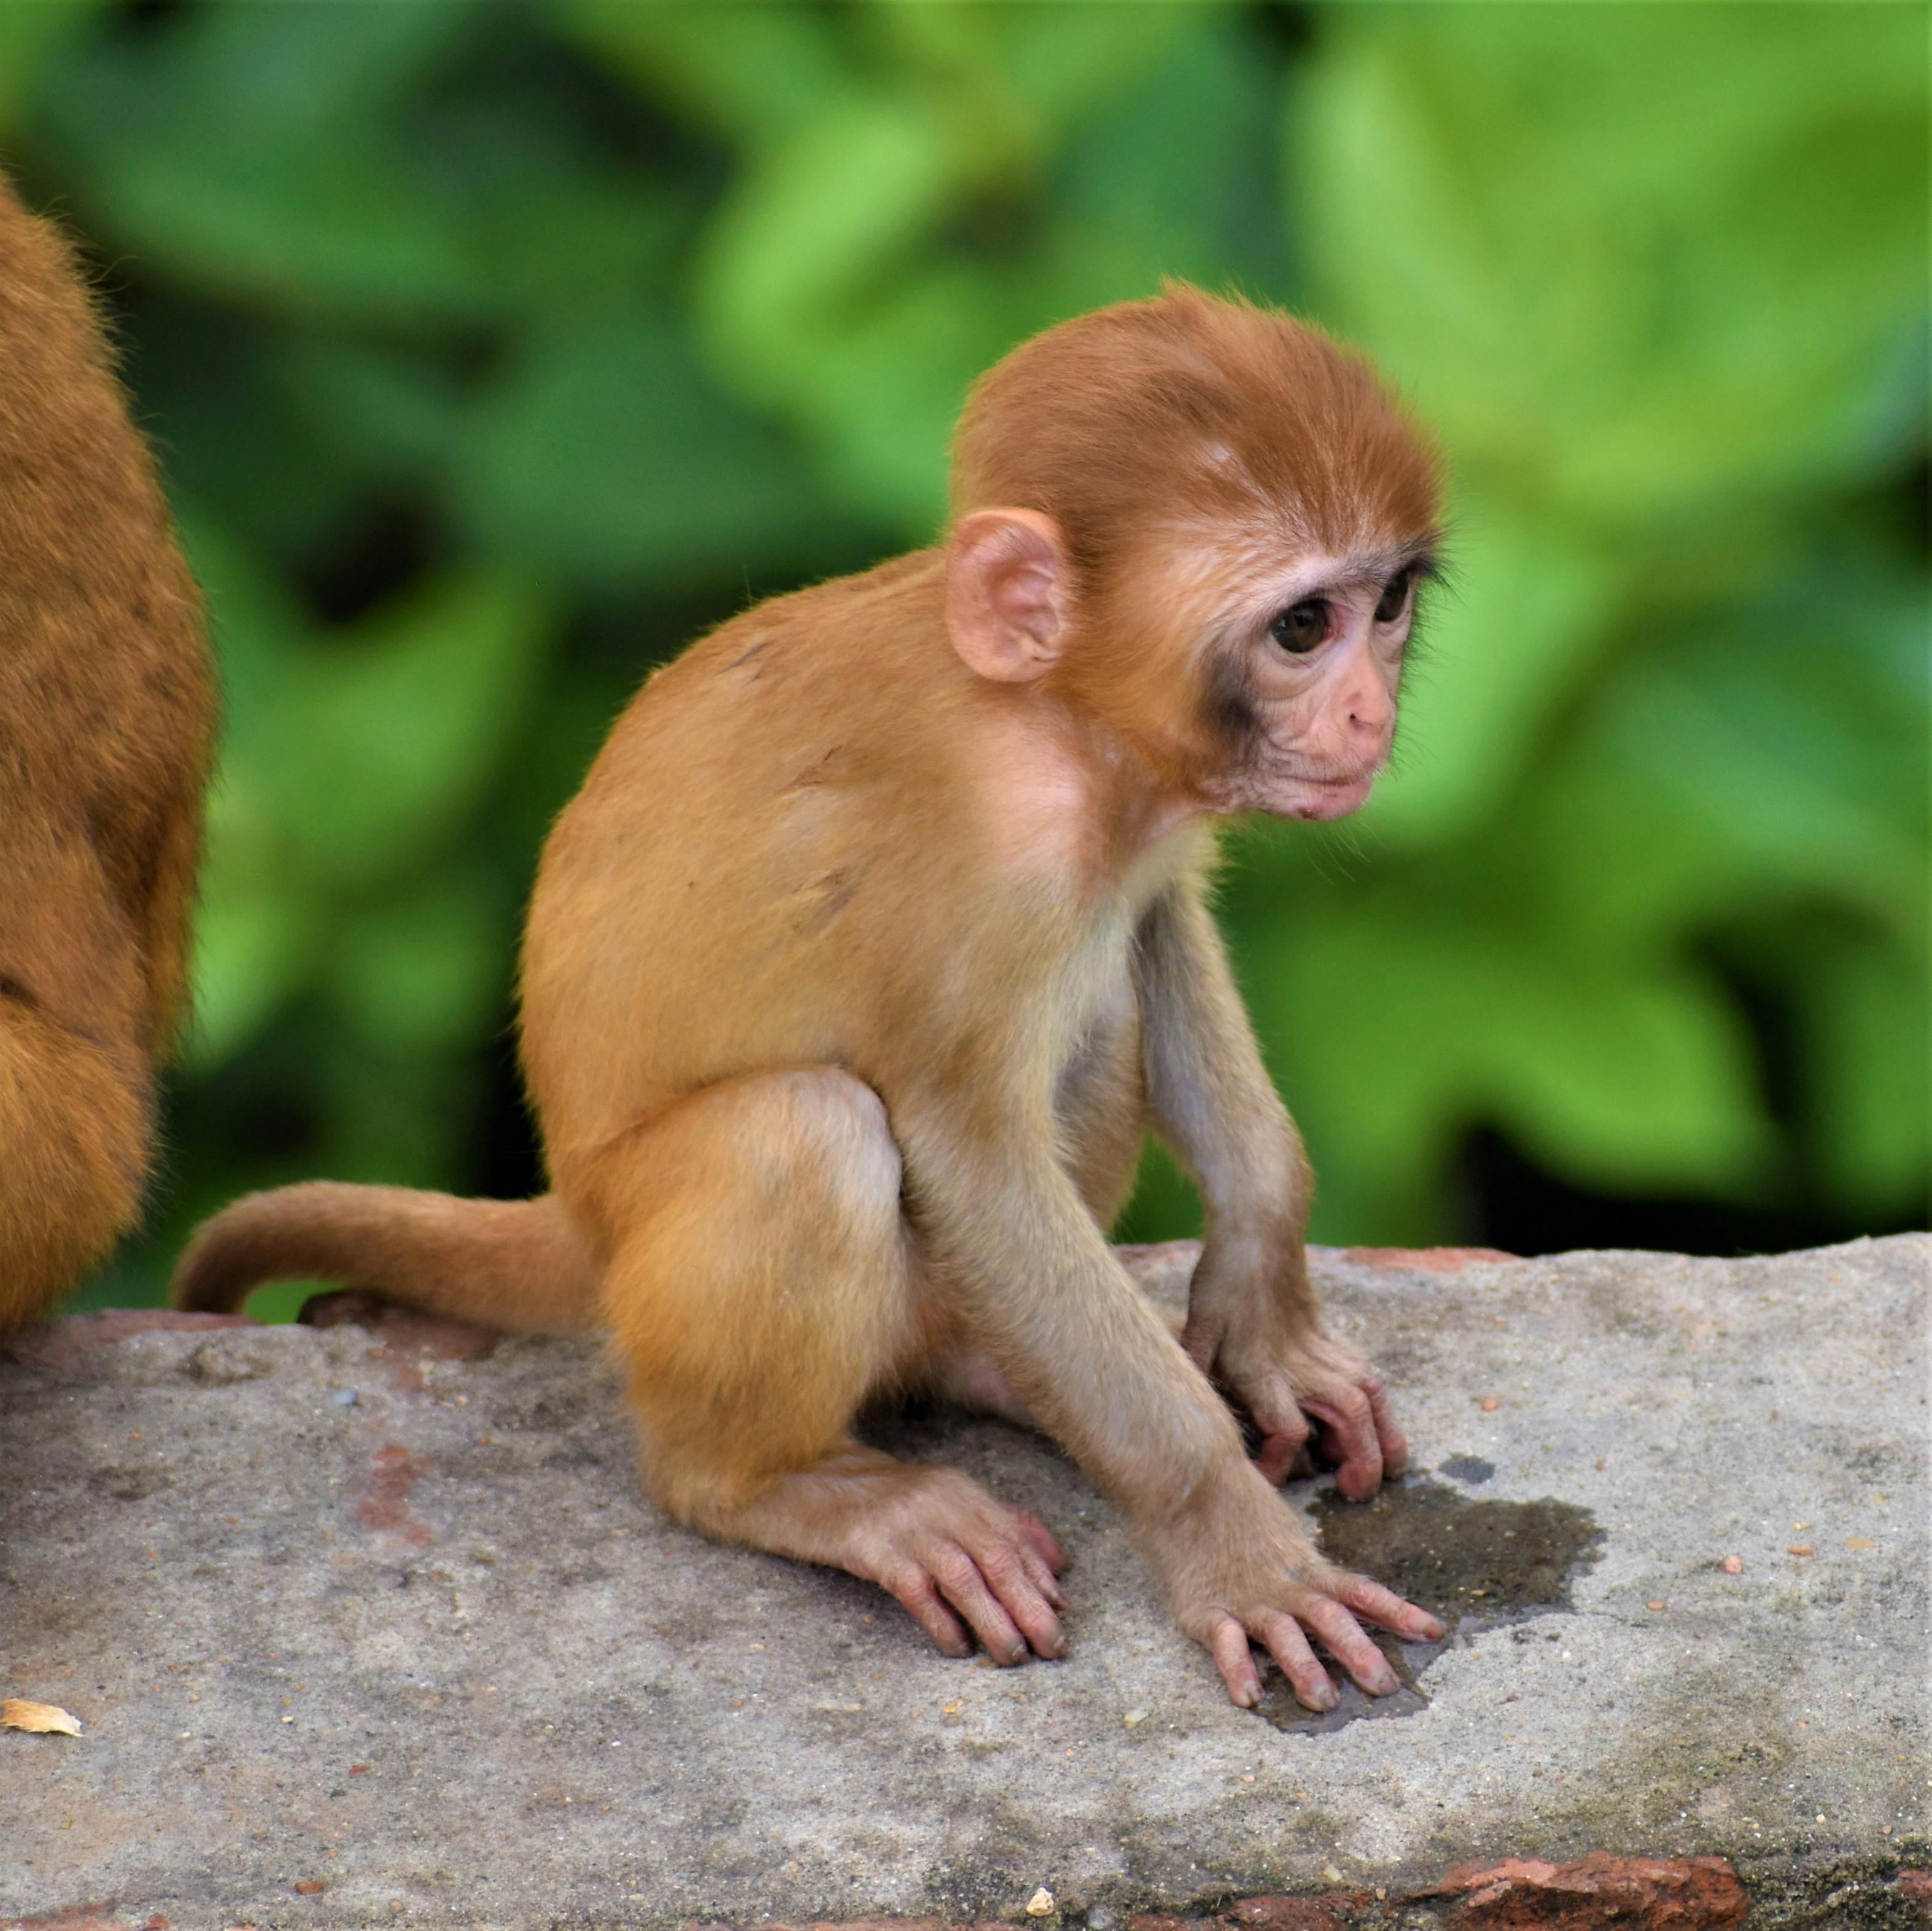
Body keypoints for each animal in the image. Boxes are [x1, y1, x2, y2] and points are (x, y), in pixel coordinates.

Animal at [174, 285, 1448, 1711]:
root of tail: (575, 1210)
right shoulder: (974, 875)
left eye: (1389, 603)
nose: (1367, 713)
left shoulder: (1143, 827)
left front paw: (1265, 1311)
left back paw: (977, 1364)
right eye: (1302, 627)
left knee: (1100, 1008)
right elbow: (968, 1154)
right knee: (801, 1131)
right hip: (659, 1242)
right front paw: (1230, 1540)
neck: (1058, 724)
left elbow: (1159, 930)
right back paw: (777, 1486)